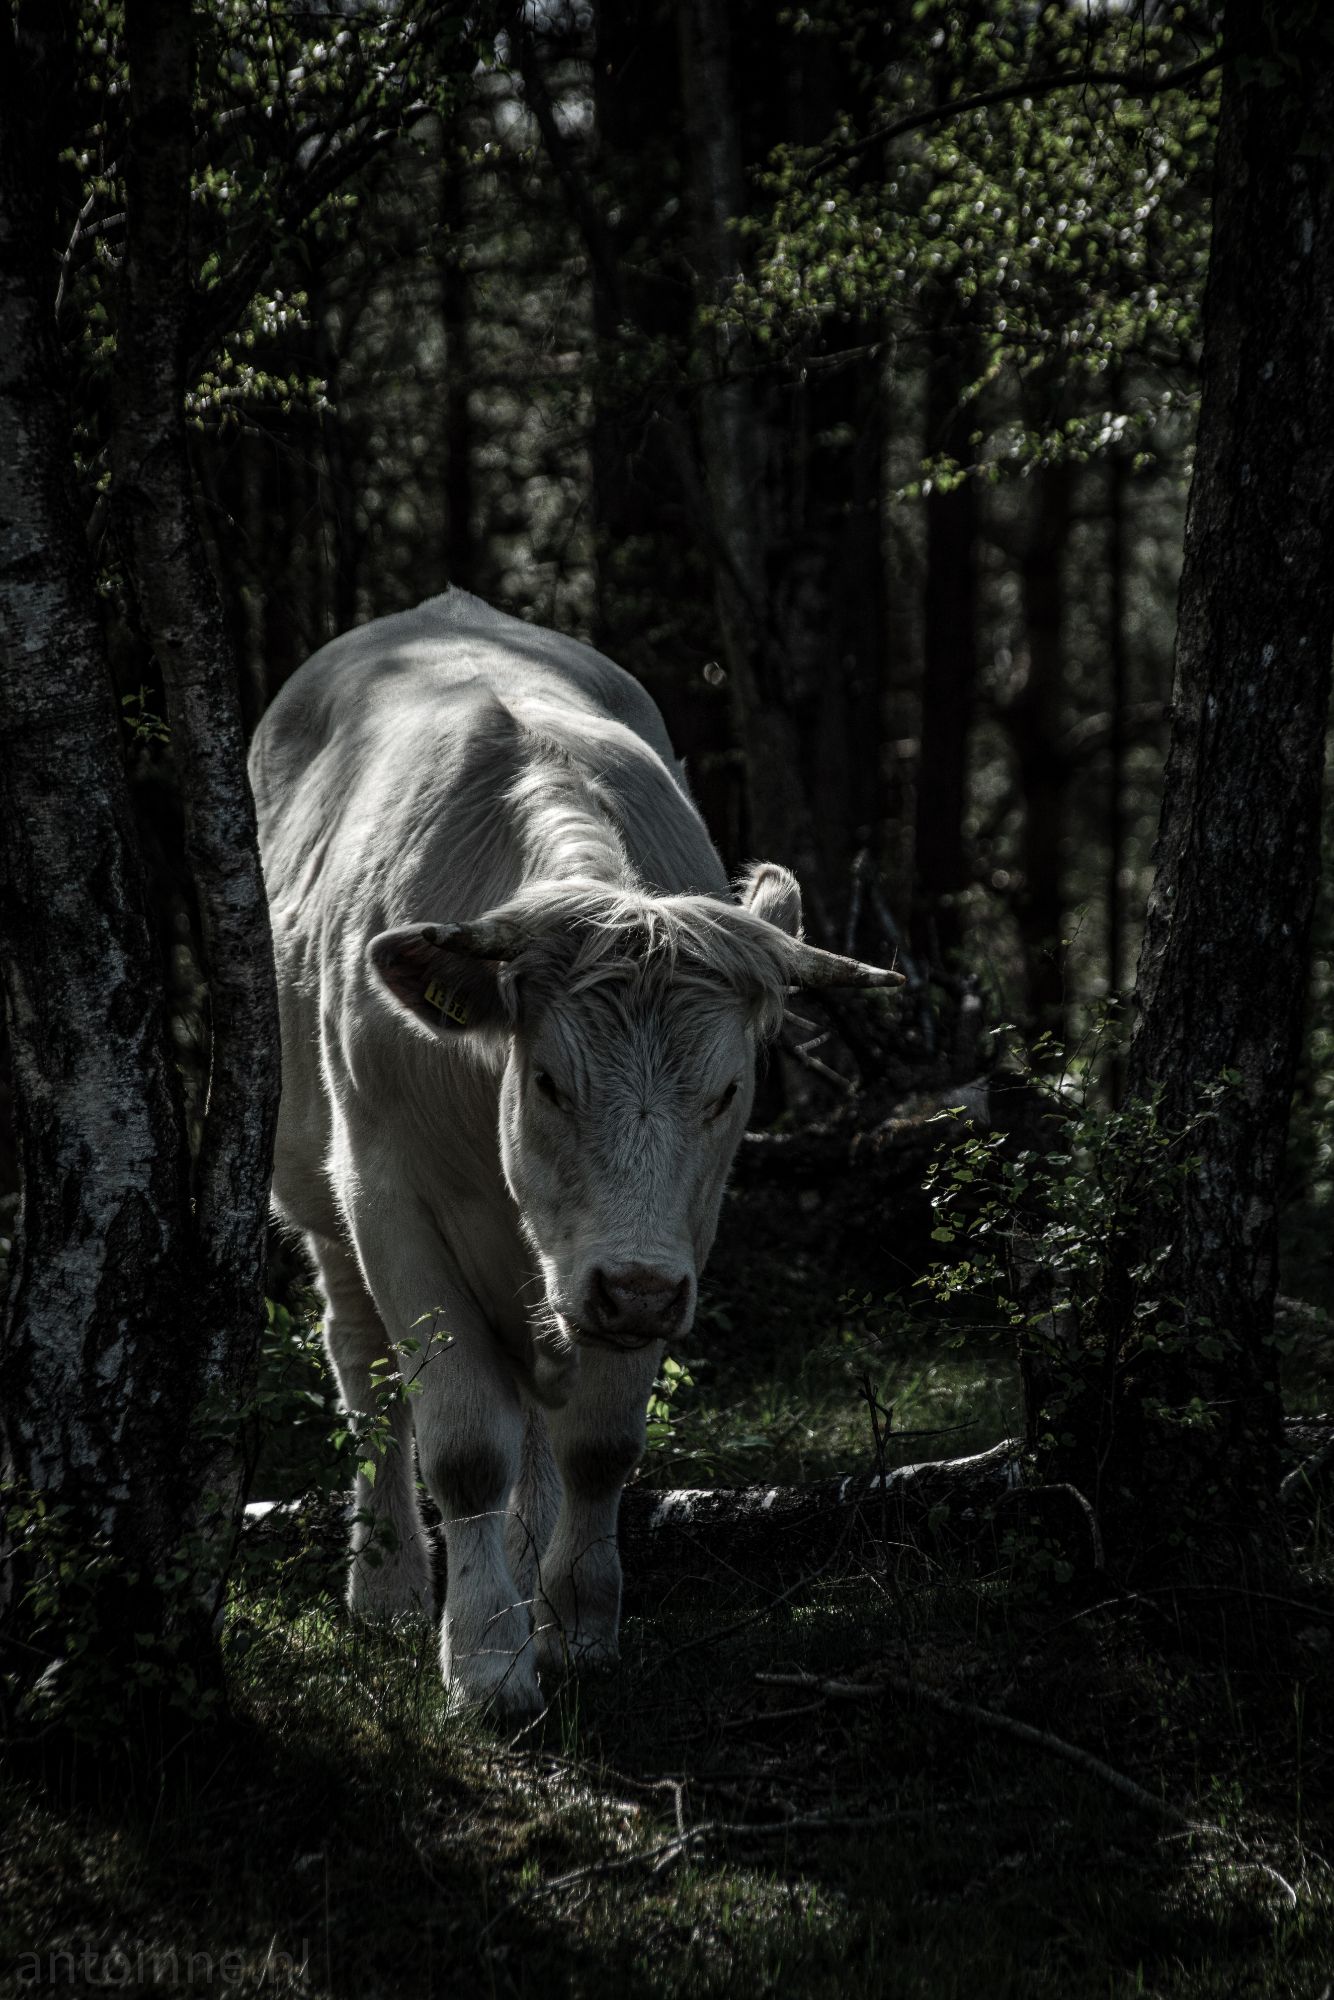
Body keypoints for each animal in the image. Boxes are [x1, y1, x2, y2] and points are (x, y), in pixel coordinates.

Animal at [250, 588, 896, 1720]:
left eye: (726, 1092)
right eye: (550, 1080)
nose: (631, 1292)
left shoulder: (671, 1239)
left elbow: (597, 1444)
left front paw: (574, 1627)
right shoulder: (390, 1197)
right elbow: (465, 1445)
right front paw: (486, 1662)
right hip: (323, 1198)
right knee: (365, 1370)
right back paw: (387, 1583)